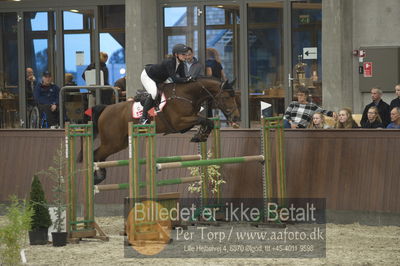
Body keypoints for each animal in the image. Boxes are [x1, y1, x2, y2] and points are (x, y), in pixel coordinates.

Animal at [79, 77, 239, 185]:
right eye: (226, 96)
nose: (236, 117)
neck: (187, 94)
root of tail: (106, 108)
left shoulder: (184, 124)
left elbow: (206, 121)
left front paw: (200, 135)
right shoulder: (179, 122)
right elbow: (205, 120)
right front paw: (200, 135)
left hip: (120, 143)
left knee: (100, 155)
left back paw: (99, 175)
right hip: (113, 142)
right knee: (96, 154)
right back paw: (97, 176)